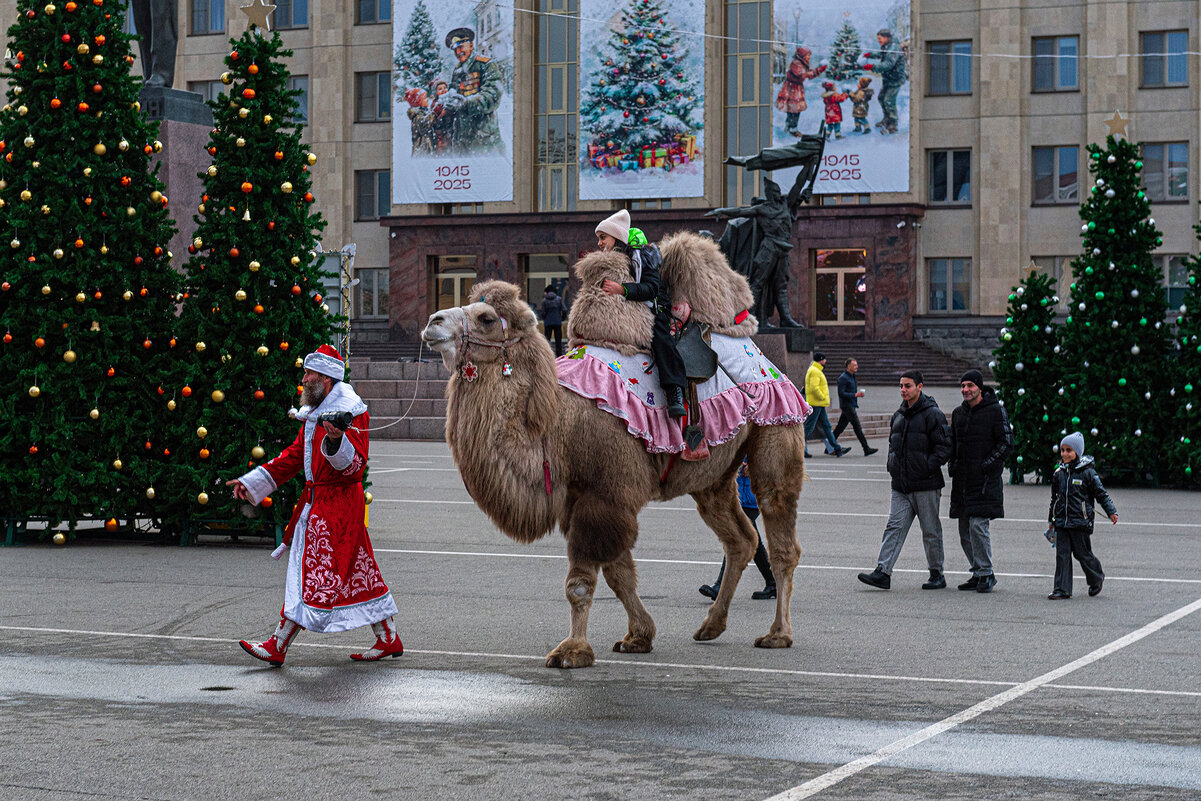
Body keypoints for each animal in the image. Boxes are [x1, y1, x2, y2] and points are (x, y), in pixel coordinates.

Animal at [422, 232, 807, 672]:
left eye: (486, 317)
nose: (433, 322)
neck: (558, 422)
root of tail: (764, 358)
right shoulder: (583, 498)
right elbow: (618, 574)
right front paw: (638, 636)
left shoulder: (605, 493)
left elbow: (582, 582)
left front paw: (572, 650)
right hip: (714, 477)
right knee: (740, 538)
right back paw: (710, 626)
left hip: (776, 429)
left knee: (780, 533)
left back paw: (778, 634)